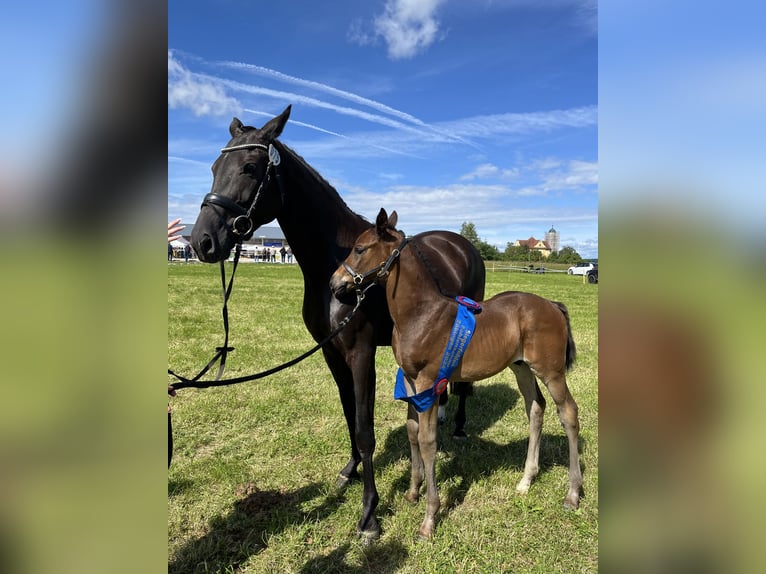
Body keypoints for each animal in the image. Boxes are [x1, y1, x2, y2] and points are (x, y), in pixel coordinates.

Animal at [189, 108, 484, 544]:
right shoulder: (331, 352)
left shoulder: (361, 352)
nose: (202, 241)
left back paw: (460, 426)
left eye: (249, 167)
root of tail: (461, 244)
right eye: (213, 167)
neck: (332, 260)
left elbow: (364, 428)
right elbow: (348, 415)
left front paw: (370, 514)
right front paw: (350, 471)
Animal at [332, 210, 588, 540]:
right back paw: (525, 481)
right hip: (521, 368)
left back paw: (573, 493)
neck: (422, 314)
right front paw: (413, 492)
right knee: (536, 408)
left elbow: (428, 441)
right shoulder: (411, 381)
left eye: (360, 249)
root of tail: (553, 306)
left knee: (567, 411)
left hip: (551, 370)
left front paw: (429, 518)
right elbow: (412, 430)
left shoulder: (429, 383)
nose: (335, 283)